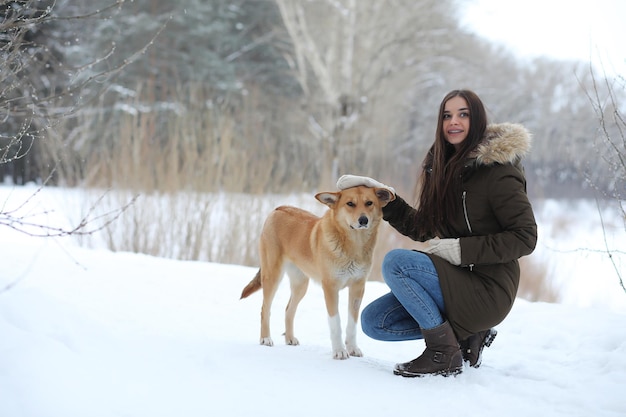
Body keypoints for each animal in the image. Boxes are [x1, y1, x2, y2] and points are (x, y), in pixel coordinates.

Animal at [240, 185, 392, 358]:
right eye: (350, 204)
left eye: (369, 203)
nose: (363, 220)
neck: (354, 246)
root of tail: (278, 208)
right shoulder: (331, 288)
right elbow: (336, 323)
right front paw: (339, 351)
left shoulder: (358, 288)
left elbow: (352, 325)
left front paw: (352, 348)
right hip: (273, 276)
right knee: (265, 309)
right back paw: (265, 338)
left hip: (301, 285)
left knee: (289, 310)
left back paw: (290, 338)